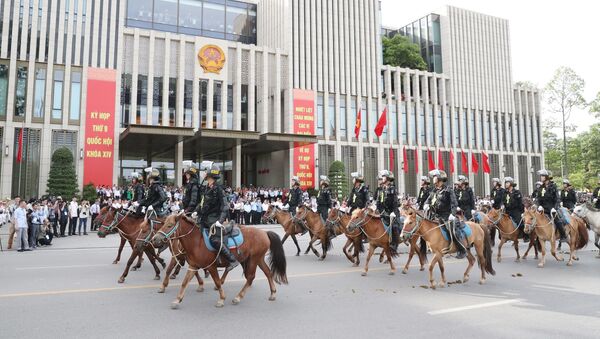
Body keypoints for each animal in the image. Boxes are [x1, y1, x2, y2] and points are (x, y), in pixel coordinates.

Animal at [152, 216, 288, 310]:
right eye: (163, 224)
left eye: (169, 225)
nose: (155, 239)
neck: (197, 242)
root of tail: (264, 232)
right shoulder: (193, 265)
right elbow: (185, 282)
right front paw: (177, 300)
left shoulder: (211, 266)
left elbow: (217, 281)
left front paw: (221, 299)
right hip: (258, 259)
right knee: (268, 273)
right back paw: (273, 293)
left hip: (254, 259)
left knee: (250, 277)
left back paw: (238, 297)